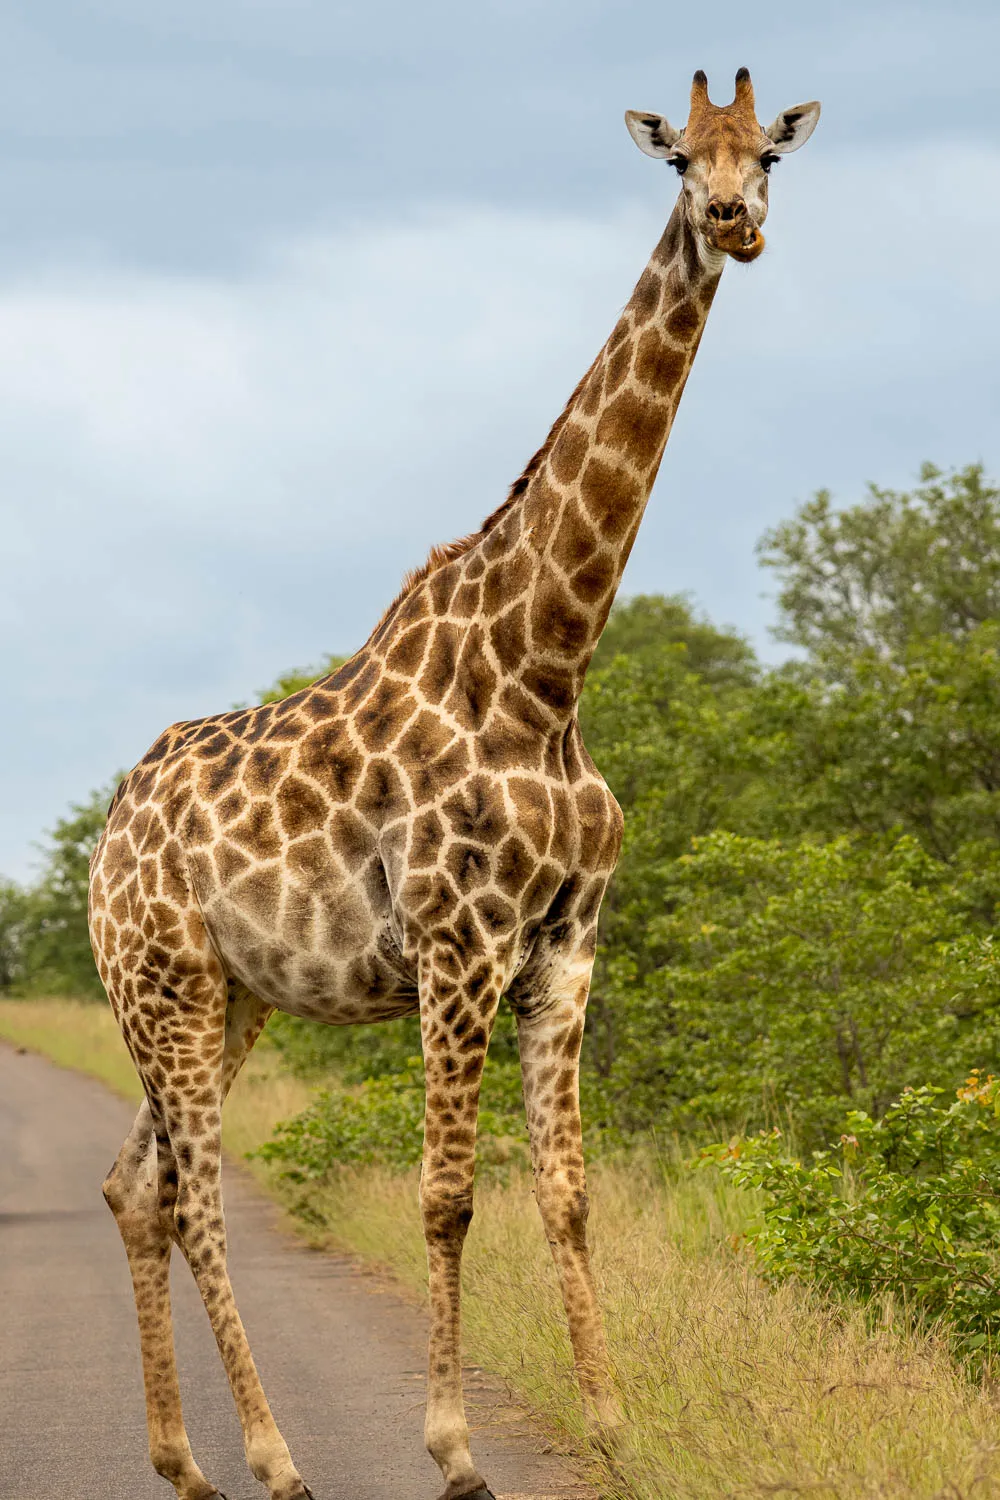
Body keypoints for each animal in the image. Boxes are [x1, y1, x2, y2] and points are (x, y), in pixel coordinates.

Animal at [89, 68, 820, 1500]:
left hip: (229, 996)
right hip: (166, 985)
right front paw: (456, 1448)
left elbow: (567, 1192)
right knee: (196, 1192)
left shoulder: (567, 947)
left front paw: (615, 1432)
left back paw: (183, 1461)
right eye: (677, 161)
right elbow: (446, 1195)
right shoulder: (456, 943)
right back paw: (275, 1459)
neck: (547, 669)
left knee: (137, 1182)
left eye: (768, 153)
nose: (732, 223)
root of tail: (101, 839)